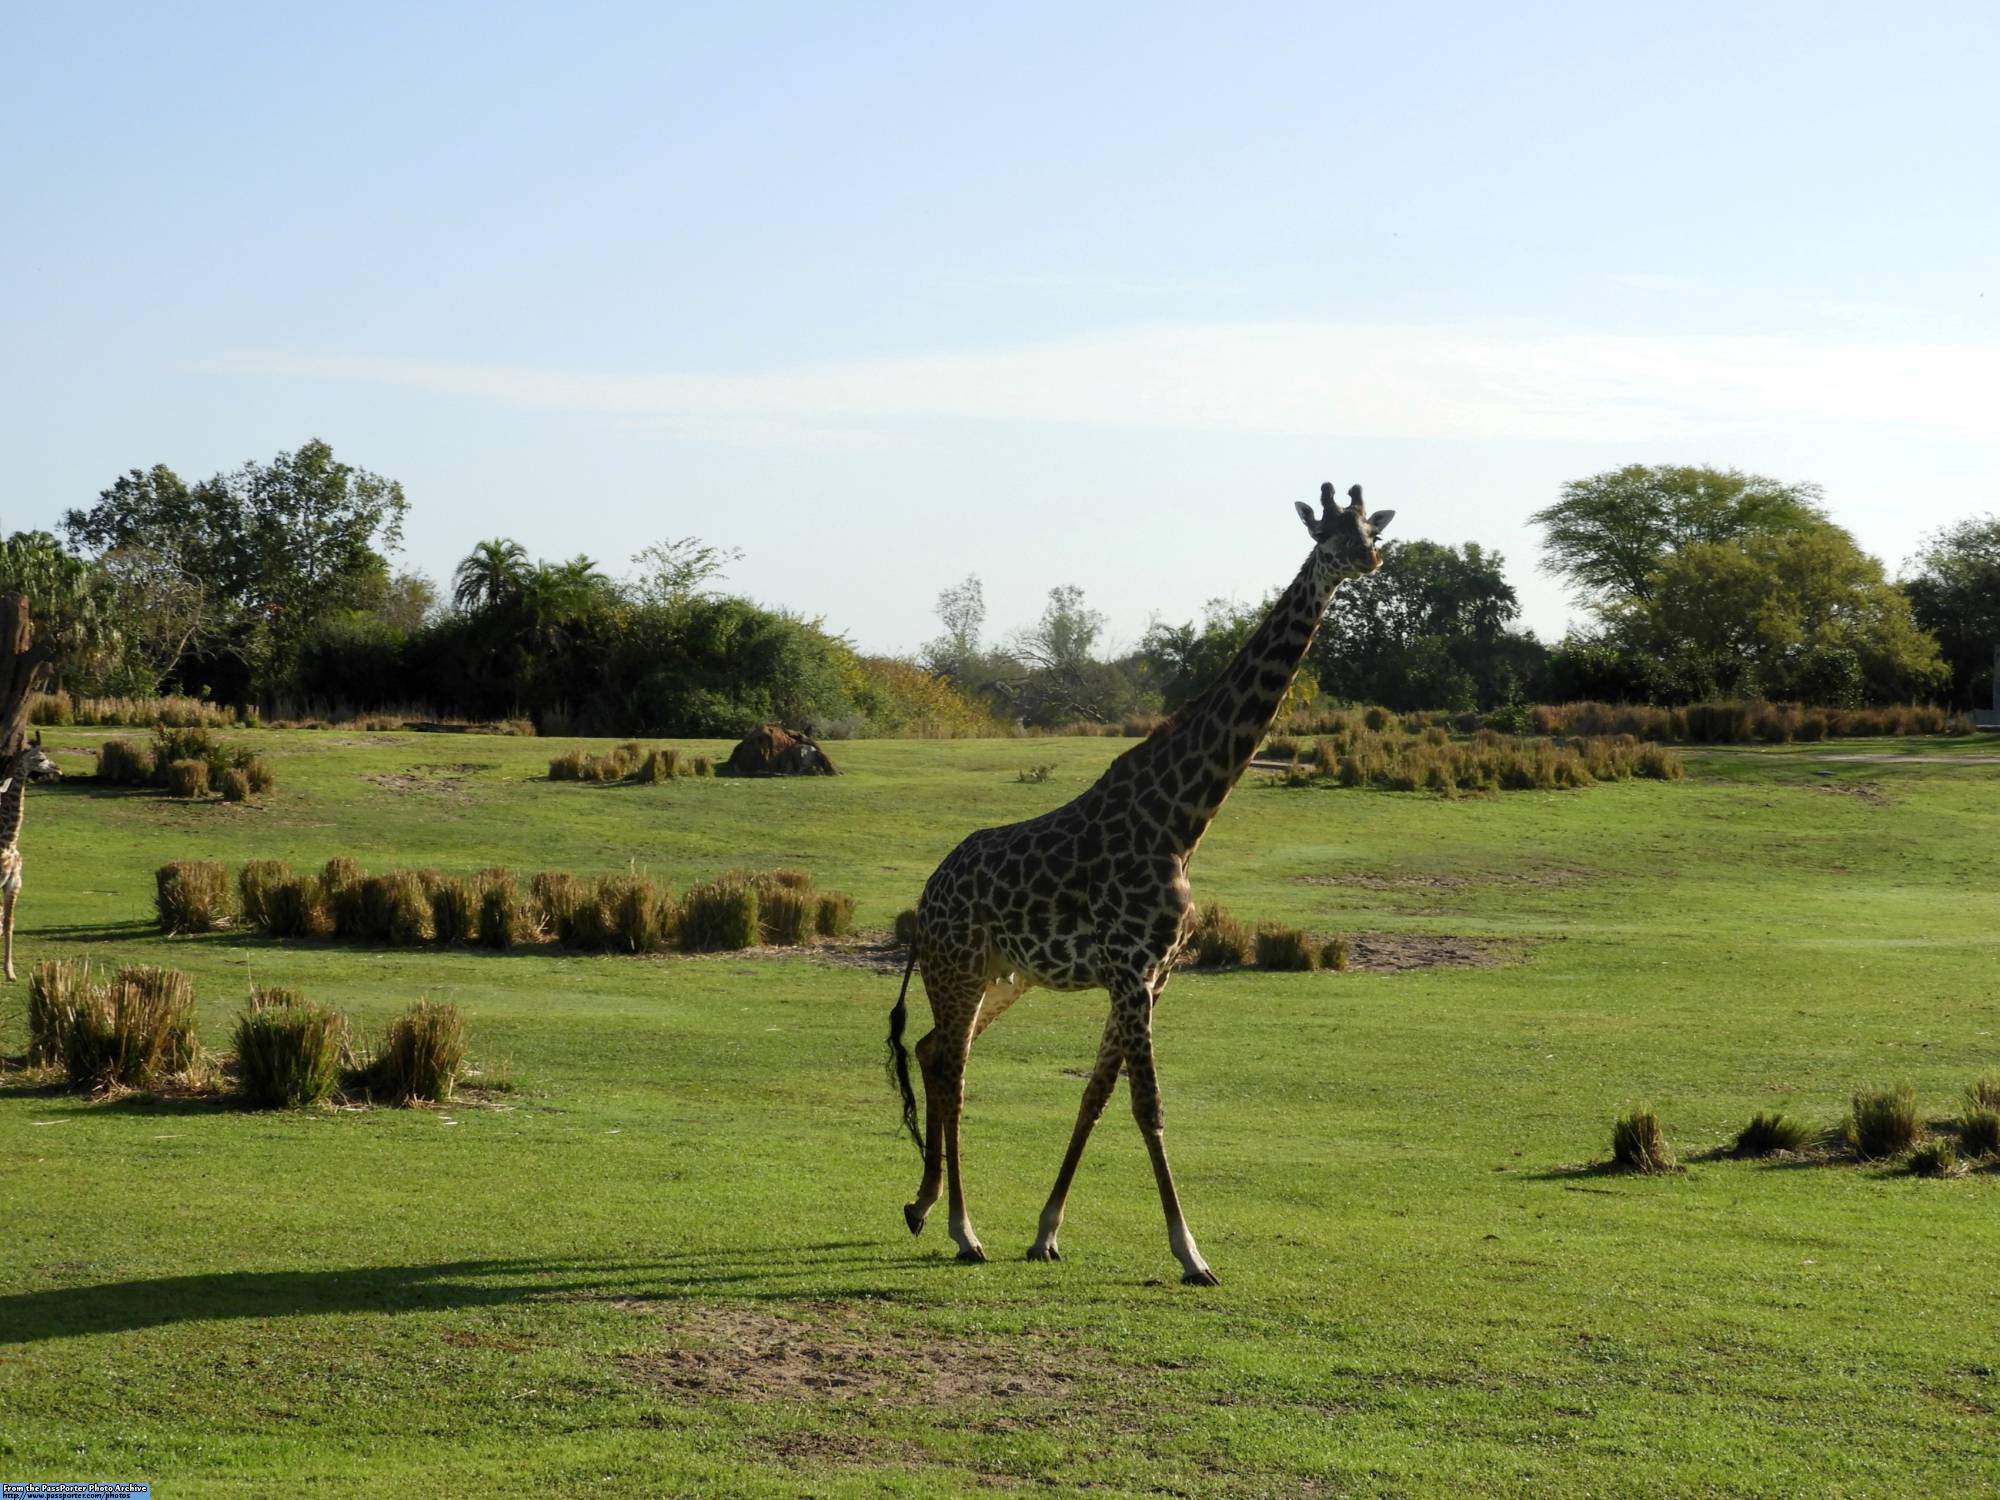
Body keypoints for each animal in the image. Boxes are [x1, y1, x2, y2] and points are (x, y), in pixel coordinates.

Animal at [884, 488, 1400, 1288]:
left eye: (1372, 525)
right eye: (1327, 533)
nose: (1368, 559)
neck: (1182, 819)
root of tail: (928, 892)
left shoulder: (1154, 974)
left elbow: (1096, 1096)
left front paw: (1046, 1231)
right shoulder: (1130, 968)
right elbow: (1148, 1105)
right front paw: (1191, 1253)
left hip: (1001, 975)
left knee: (935, 1049)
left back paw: (924, 1205)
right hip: (958, 967)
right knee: (953, 1067)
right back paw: (963, 1231)